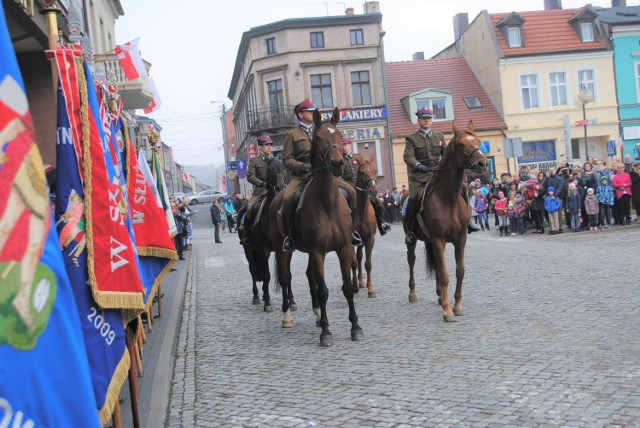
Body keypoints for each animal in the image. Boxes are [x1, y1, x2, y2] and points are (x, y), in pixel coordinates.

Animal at [242, 156, 298, 310]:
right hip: (248, 249)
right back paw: (256, 296)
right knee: (253, 270)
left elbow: (288, 274)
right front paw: (267, 302)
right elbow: (267, 275)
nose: (280, 187)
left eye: (284, 168)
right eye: (269, 170)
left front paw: (291, 300)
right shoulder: (264, 249)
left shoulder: (287, 249)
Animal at [268, 108, 362, 348]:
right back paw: (287, 317)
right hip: (283, 250)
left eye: (339, 134)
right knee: (286, 278)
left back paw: (318, 316)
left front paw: (355, 327)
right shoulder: (318, 251)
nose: (337, 163)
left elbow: (347, 288)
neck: (327, 202)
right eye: (318, 138)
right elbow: (323, 291)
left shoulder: (343, 248)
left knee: (310, 276)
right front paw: (326, 333)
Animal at [404, 120, 490, 320]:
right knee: (411, 260)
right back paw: (413, 293)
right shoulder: (439, 240)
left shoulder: (460, 240)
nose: (482, 163)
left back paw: (439, 296)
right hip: (413, 240)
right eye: (461, 144)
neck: (448, 198)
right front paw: (448, 310)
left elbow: (459, 272)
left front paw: (456, 305)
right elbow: (444, 275)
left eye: (478, 141)